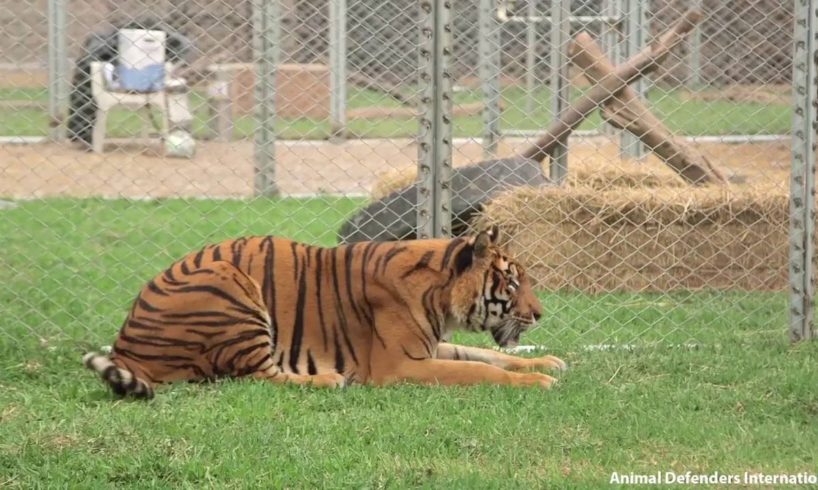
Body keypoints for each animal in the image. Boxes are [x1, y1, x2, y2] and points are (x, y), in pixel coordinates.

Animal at [84, 226, 568, 398]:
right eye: (513, 283)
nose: (541, 314)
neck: (440, 295)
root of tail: (125, 341)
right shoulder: (400, 365)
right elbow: (482, 369)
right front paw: (539, 381)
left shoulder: (431, 347)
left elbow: (492, 356)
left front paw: (548, 361)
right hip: (231, 284)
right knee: (259, 374)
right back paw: (329, 379)